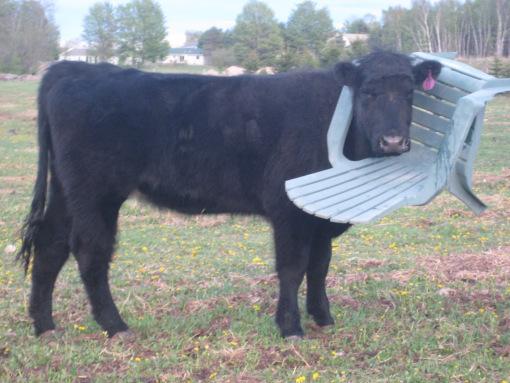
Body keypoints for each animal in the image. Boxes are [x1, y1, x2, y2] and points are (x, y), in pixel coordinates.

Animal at [17, 50, 440, 340]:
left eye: (409, 93)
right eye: (368, 93)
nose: (393, 141)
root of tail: (71, 68)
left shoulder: (321, 213)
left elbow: (320, 265)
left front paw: (323, 317)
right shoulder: (287, 209)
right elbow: (292, 267)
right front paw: (290, 327)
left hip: (65, 189)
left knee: (50, 244)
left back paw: (45, 325)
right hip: (96, 191)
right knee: (90, 250)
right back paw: (115, 325)